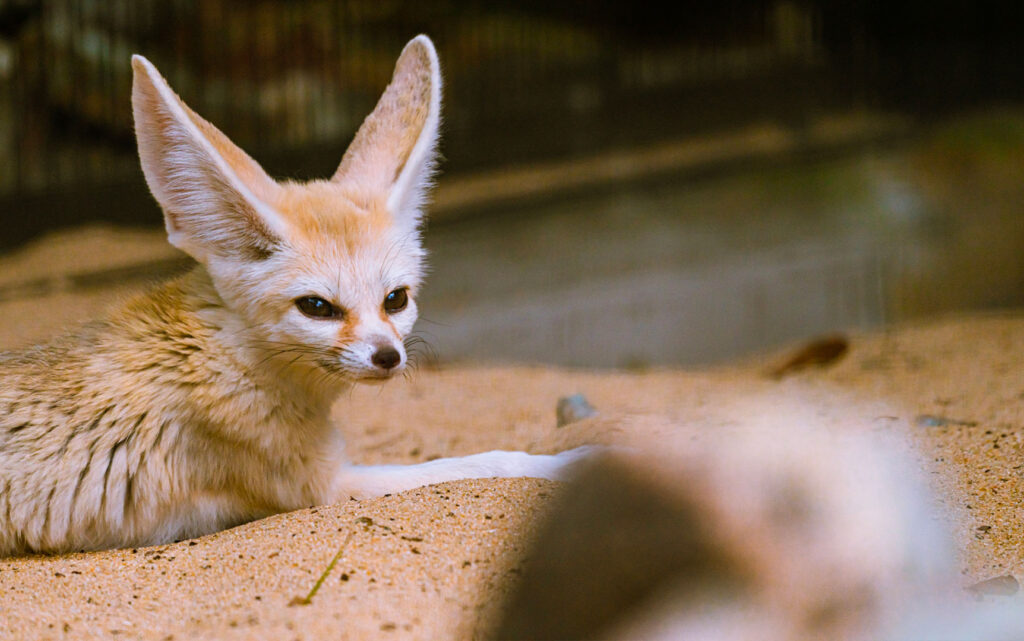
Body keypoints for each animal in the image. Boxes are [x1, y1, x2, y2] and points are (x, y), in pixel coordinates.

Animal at [0, 34, 593, 552]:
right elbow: (484, 463)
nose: (388, 356)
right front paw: (572, 462)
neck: (223, 352)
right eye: (317, 307)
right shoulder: (323, 488)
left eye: (396, 299)